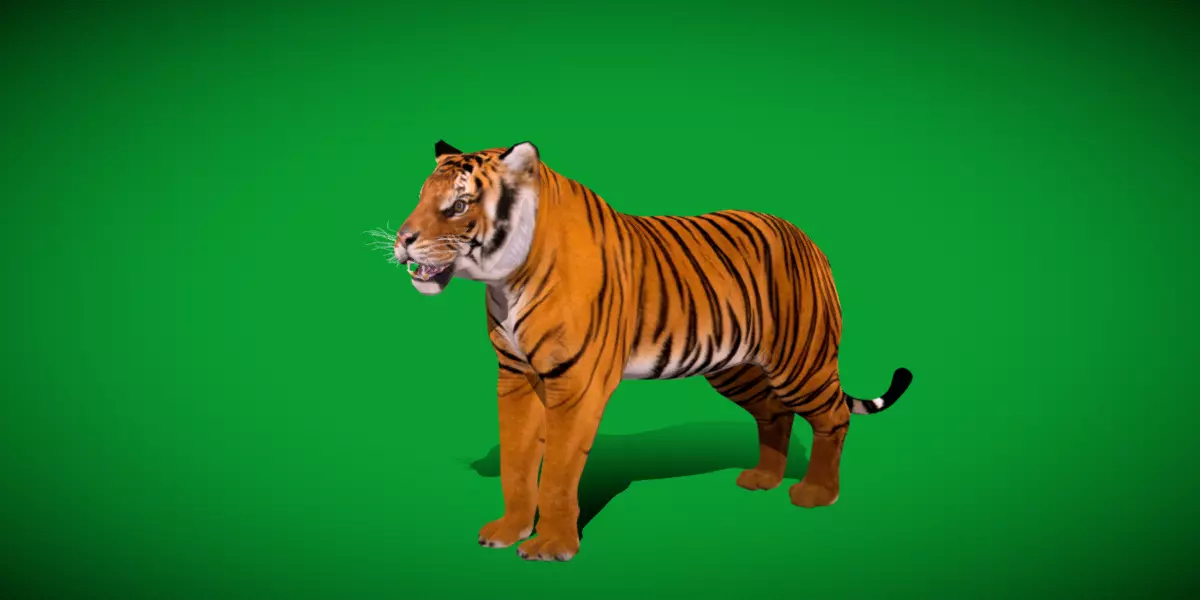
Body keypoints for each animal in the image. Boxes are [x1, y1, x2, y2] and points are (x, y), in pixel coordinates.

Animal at [389, 139, 913, 562]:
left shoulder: (576, 384)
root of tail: (806, 238)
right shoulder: (515, 376)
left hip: (800, 361)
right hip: (736, 369)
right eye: (420, 198)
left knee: (832, 418)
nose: (402, 240)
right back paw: (763, 478)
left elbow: (557, 471)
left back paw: (816, 493)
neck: (507, 280)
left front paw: (551, 546)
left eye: (458, 205)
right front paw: (508, 530)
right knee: (775, 414)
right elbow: (517, 461)